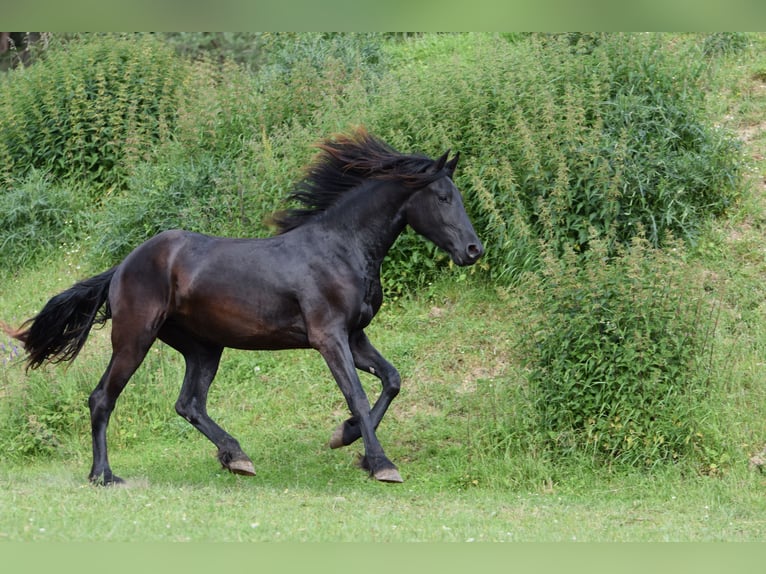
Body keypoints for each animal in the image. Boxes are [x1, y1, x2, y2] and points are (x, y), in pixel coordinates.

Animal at [3, 129, 484, 486]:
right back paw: (104, 475)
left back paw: (236, 456)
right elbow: (359, 395)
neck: (341, 249)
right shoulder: (328, 337)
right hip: (135, 339)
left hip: (203, 348)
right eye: (443, 197)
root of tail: (123, 266)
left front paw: (346, 439)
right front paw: (381, 464)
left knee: (189, 404)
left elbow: (392, 380)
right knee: (103, 397)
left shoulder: (355, 336)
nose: (473, 250)